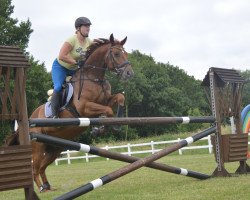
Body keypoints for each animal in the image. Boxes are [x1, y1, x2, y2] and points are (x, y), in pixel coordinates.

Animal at [29, 34, 134, 192]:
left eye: (126, 53)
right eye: (116, 54)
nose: (129, 73)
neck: (94, 77)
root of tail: (30, 117)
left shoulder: (105, 101)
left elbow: (120, 98)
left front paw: (108, 125)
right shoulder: (84, 108)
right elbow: (108, 111)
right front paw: (100, 128)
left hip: (55, 148)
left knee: (42, 167)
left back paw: (48, 187)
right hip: (38, 146)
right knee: (35, 168)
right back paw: (41, 188)